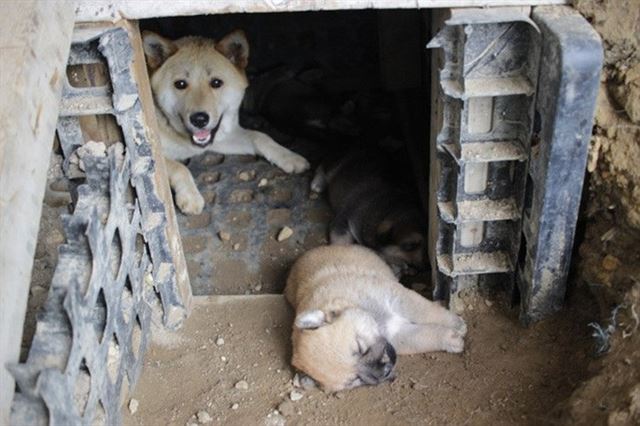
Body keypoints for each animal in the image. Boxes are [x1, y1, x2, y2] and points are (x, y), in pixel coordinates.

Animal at [142, 30, 310, 215]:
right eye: (180, 84)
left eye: (216, 83)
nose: (199, 119)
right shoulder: (151, 156)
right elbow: (179, 168)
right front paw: (190, 196)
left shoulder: (221, 138)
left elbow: (260, 137)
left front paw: (289, 157)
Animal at [284, 245, 464, 392]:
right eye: (356, 380)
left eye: (360, 348)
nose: (385, 372)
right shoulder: (397, 336)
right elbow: (423, 337)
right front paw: (451, 339)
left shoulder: (398, 298)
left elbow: (426, 311)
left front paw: (456, 324)